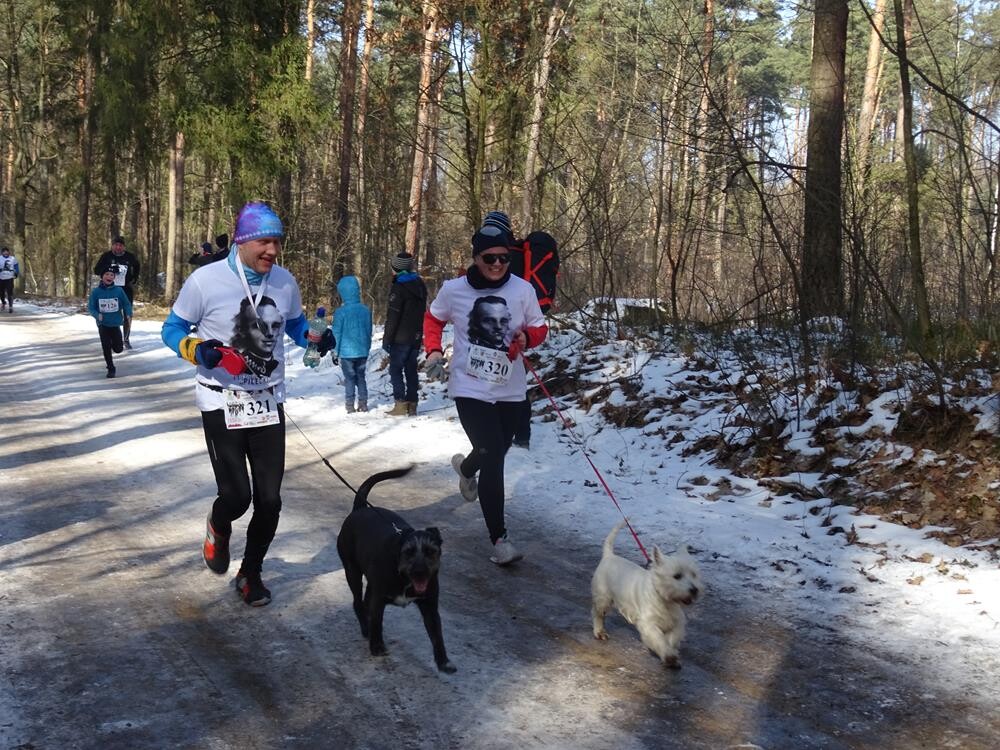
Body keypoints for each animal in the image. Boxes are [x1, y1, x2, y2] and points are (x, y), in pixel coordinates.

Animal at [340, 470, 458, 676]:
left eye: (431, 551)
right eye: (408, 552)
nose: (420, 572)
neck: (404, 579)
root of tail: (359, 509)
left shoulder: (429, 606)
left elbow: (437, 635)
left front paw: (443, 661)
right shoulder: (379, 600)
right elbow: (377, 622)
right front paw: (377, 646)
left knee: (364, 601)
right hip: (352, 571)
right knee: (357, 602)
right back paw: (365, 626)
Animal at [588, 524, 700, 668]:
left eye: (694, 574)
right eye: (677, 576)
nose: (694, 590)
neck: (663, 598)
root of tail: (608, 555)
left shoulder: (676, 622)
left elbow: (673, 637)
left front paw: (671, 654)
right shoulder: (648, 623)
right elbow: (658, 638)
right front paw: (668, 655)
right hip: (603, 596)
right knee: (598, 613)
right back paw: (600, 632)